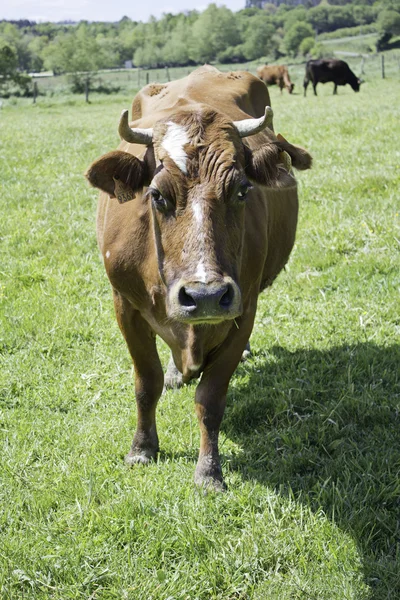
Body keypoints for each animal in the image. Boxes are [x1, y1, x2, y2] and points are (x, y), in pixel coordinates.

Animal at [84, 65, 312, 490]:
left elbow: (210, 399)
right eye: (156, 194)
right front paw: (142, 448)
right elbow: (146, 383)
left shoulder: (243, 308)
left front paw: (208, 470)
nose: (205, 296)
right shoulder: (124, 305)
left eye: (241, 191)